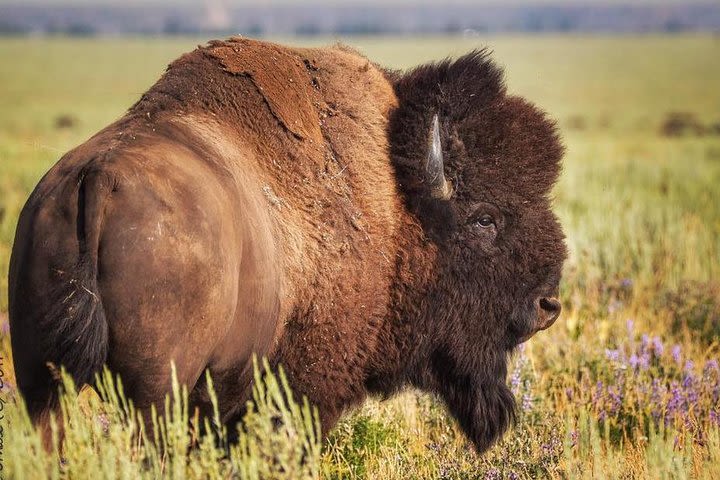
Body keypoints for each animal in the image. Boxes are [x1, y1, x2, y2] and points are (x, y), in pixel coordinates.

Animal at [8, 37, 564, 454]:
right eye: (484, 218)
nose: (548, 305)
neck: (397, 199)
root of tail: (96, 177)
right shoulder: (303, 390)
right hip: (154, 393)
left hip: (39, 379)